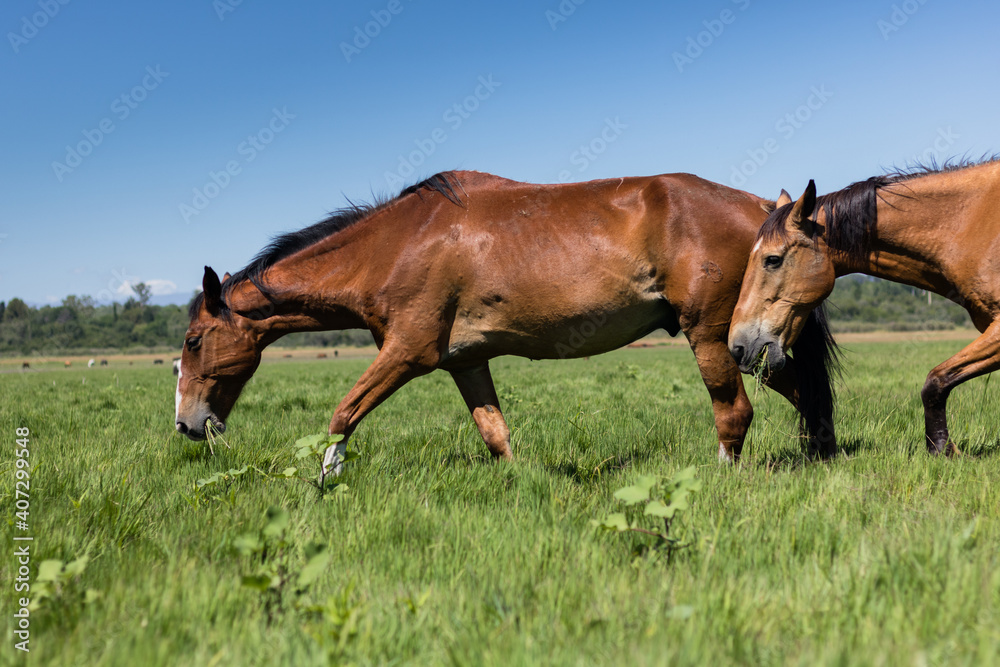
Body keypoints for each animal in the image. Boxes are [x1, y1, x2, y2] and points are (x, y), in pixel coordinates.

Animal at [175, 170, 838, 476]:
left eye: (194, 339)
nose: (186, 424)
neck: (396, 245)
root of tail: (764, 209)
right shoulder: (465, 363)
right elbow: (497, 436)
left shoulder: (408, 353)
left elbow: (343, 413)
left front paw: (324, 480)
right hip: (758, 349)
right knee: (807, 396)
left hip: (716, 340)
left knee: (736, 413)